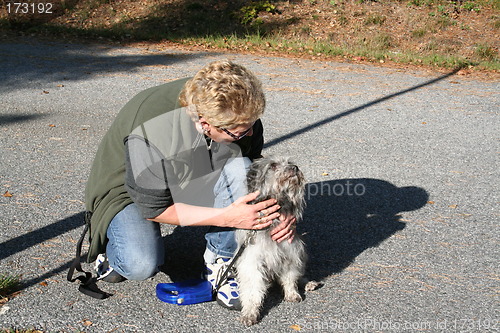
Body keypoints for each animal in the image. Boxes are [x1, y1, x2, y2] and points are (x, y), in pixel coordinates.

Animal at [234, 157, 316, 326]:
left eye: (289, 162)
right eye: (272, 165)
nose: (294, 167)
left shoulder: (291, 253)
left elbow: (290, 278)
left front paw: (292, 293)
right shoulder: (252, 262)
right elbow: (252, 291)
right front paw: (250, 313)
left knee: (299, 275)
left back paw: (307, 283)